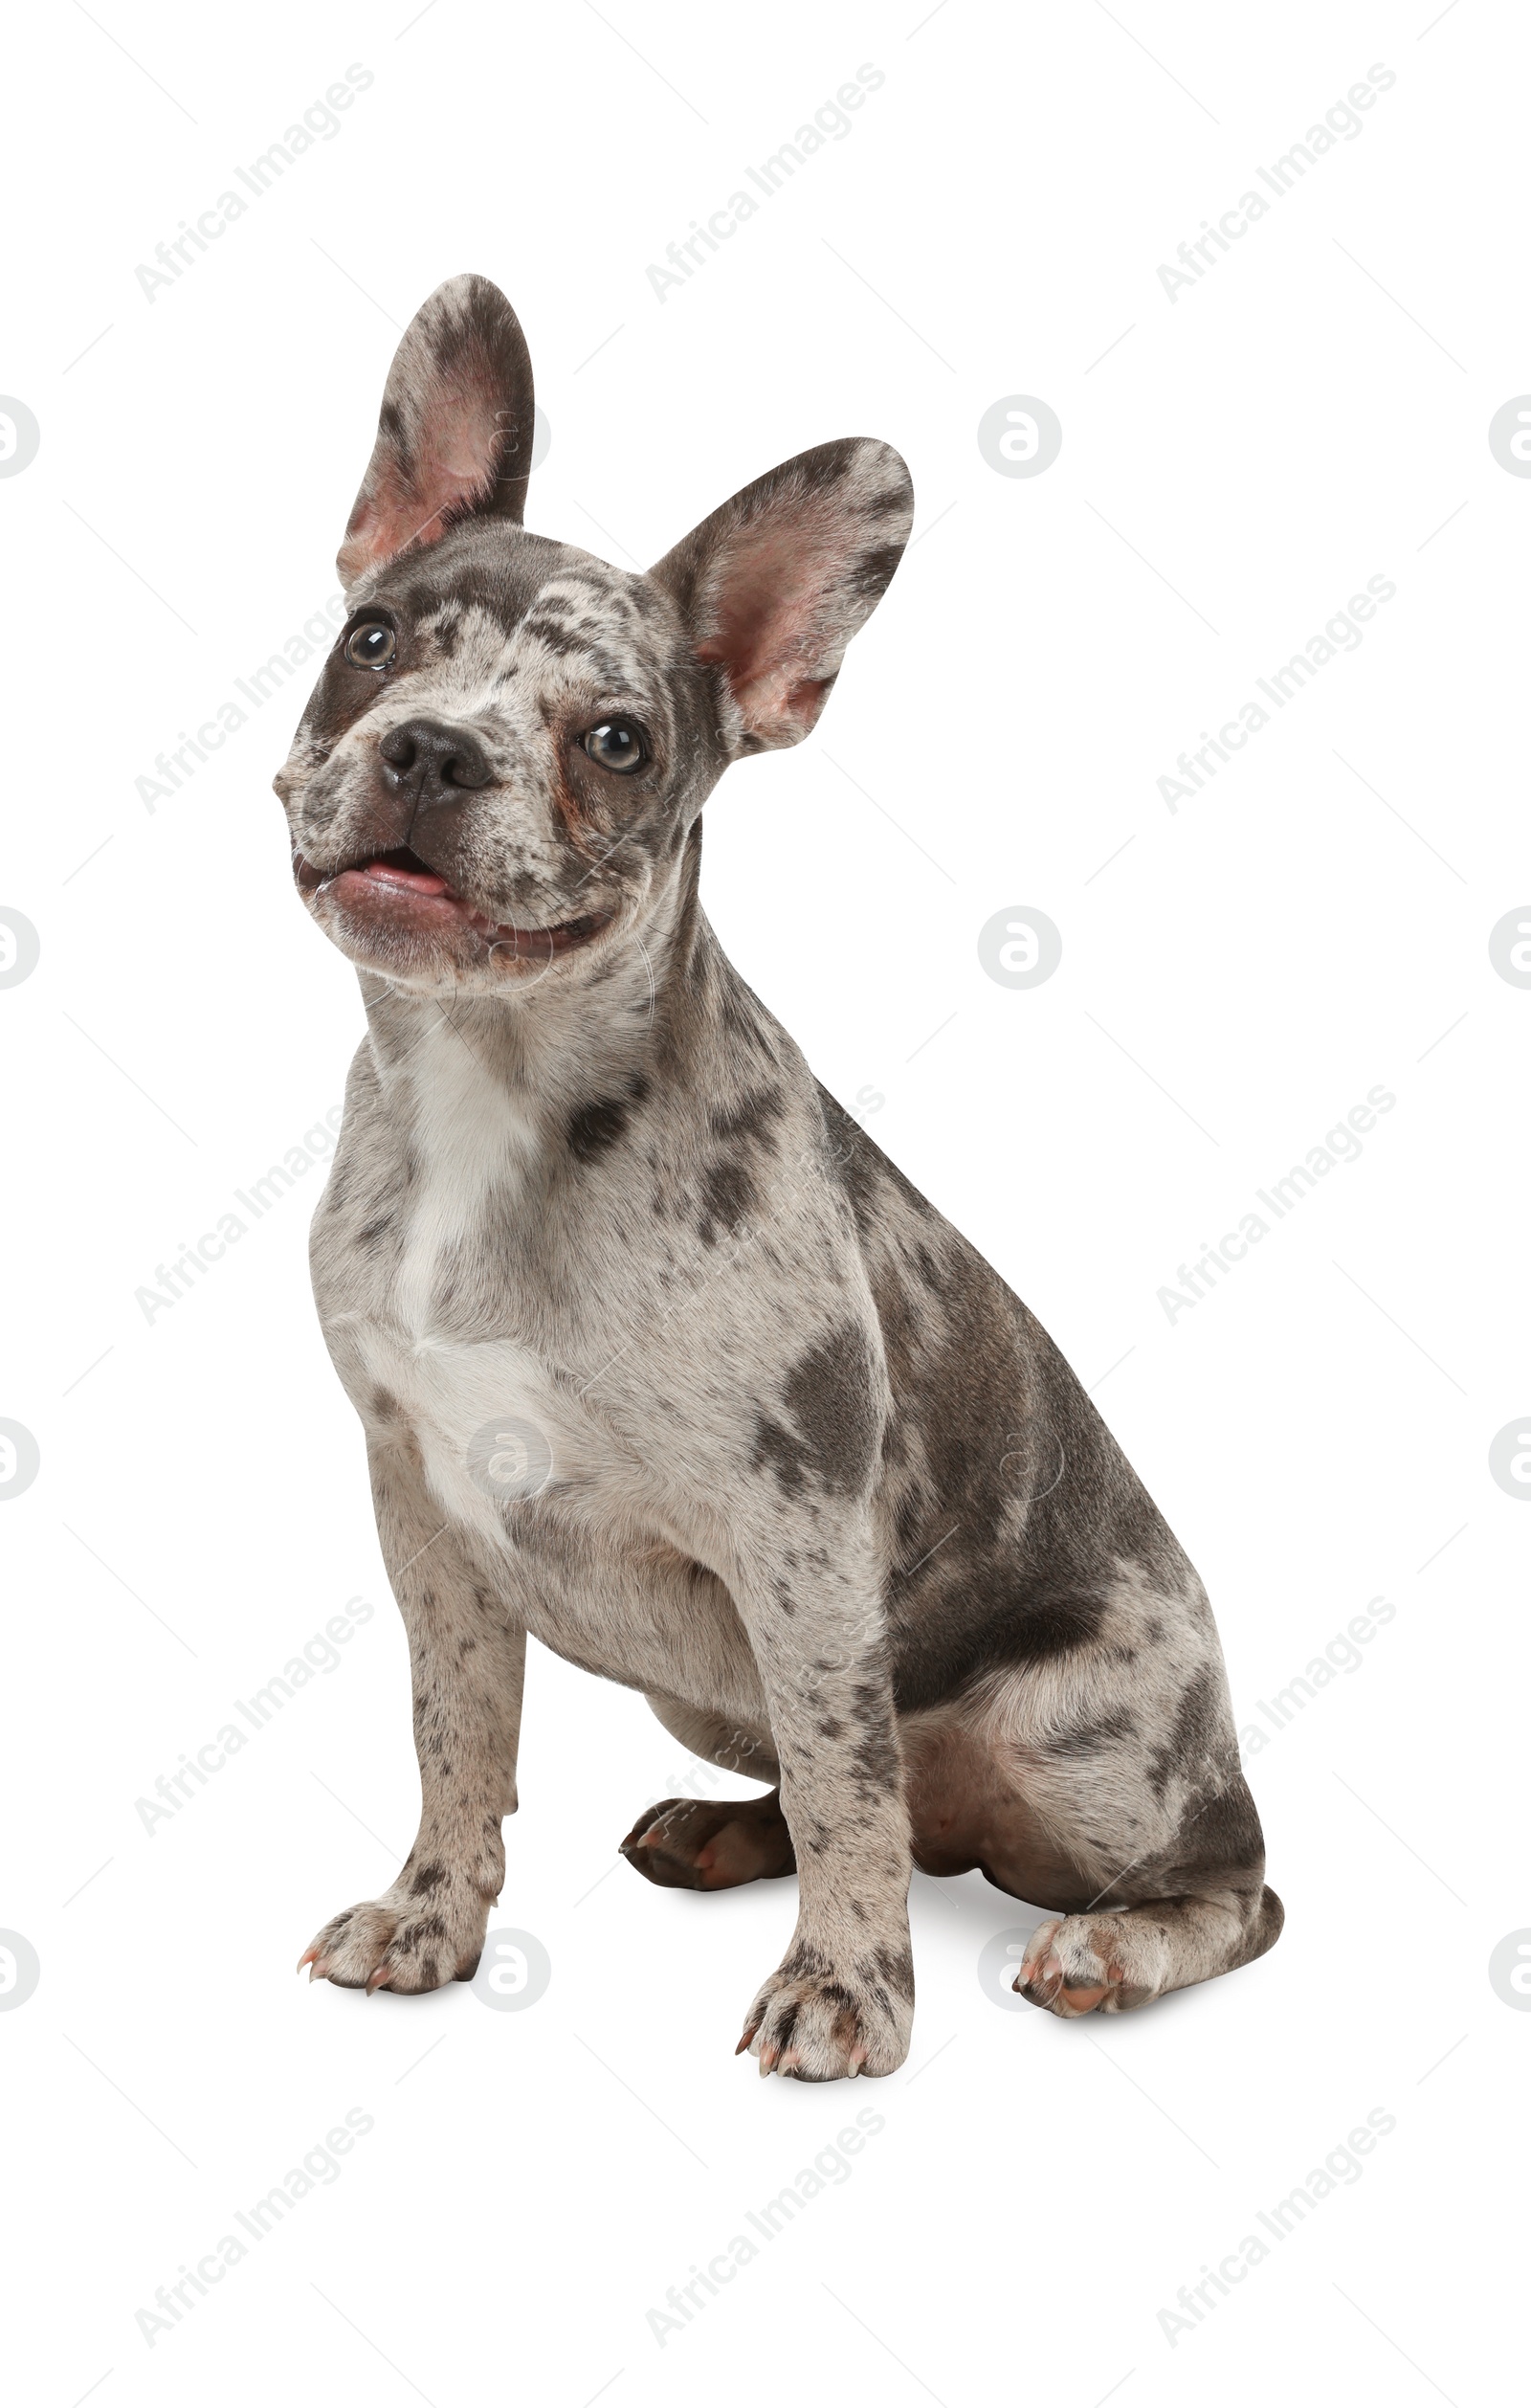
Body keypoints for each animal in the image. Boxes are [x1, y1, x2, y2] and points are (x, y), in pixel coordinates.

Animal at [276, 273, 1280, 2080]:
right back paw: (718, 1830)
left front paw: (846, 1989)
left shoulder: (800, 1536)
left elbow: (842, 1775)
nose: (435, 750)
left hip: (1088, 1737)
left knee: (1202, 1878)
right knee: (864, 1800)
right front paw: (434, 1913)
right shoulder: (424, 1510)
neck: (489, 1082)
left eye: (615, 740)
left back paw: (1108, 1947)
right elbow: (456, 1728)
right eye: (372, 641)